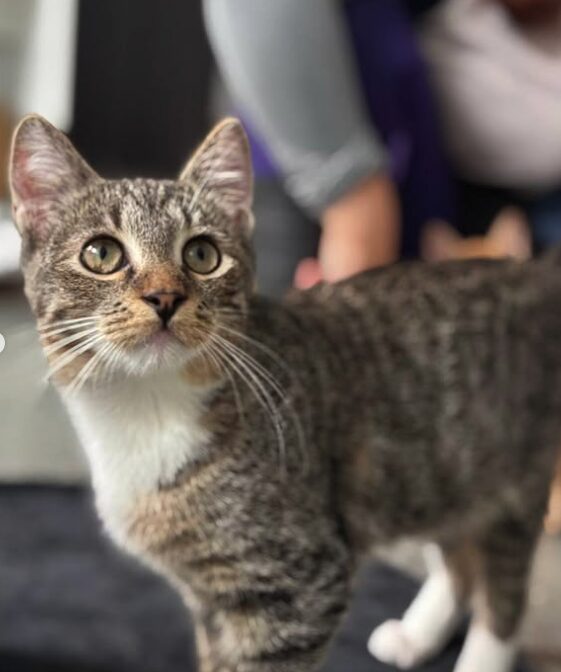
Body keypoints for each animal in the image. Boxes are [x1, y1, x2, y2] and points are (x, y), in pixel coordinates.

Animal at [9, 113, 561, 668]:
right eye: (101, 253)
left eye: (202, 254)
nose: (164, 296)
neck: (147, 412)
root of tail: (531, 269)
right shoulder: (209, 597)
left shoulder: (304, 582)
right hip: (443, 471)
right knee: (457, 555)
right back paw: (416, 635)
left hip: (516, 477)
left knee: (502, 591)